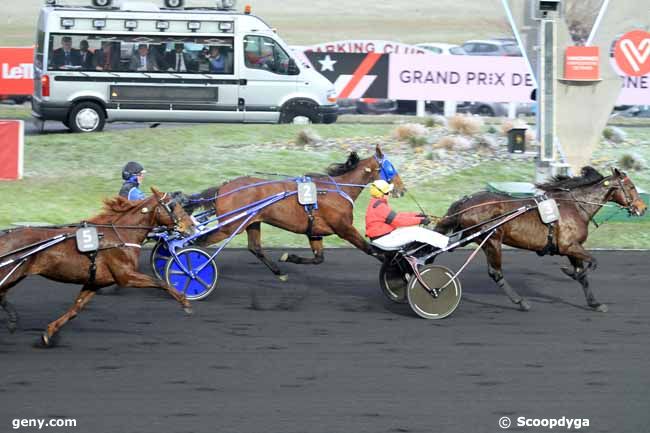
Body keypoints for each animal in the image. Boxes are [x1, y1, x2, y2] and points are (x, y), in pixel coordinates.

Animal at [1, 187, 196, 346]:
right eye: (174, 206)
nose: (192, 227)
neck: (121, 235)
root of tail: (5, 236)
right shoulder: (125, 276)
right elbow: (160, 282)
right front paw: (185, 302)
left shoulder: (95, 282)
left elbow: (76, 309)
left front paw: (49, 333)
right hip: (10, 274)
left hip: (15, 276)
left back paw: (12, 319)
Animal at [182, 143, 404, 278]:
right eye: (391, 168)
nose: (402, 189)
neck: (339, 190)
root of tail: (222, 188)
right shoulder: (344, 228)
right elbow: (371, 249)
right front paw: (396, 268)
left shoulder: (315, 231)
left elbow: (319, 258)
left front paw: (290, 257)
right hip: (230, 227)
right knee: (198, 242)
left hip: (252, 222)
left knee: (255, 247)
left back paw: (278, 271)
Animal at [436, 167, 644, 312]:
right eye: (631, 187)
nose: (643, 208)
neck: (575, 206)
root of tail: (466, 201)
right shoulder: (569, 246)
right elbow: (592, 263)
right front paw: (570, 272)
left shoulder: (572, 248)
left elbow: (583, 275)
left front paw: (595, 303)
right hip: (492, 240)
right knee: (496, 273)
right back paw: (520, 301)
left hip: (470, 236)